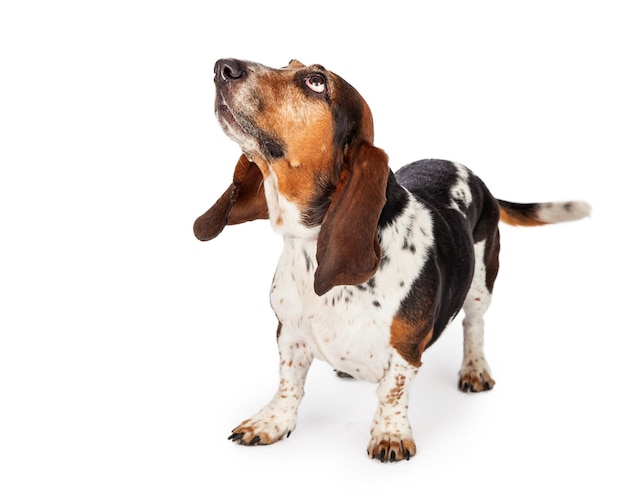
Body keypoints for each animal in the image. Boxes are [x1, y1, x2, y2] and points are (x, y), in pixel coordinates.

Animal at [193, 57, 588, 460]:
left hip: (481, 284)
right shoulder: (289, 333)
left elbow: (392, 391)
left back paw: (474, 369)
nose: (222, 66)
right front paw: (271, 422)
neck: (307, 246)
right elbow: (289, 383)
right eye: (288, 64)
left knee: (473, 326)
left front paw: (391, 434)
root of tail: (475, 177)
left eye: (316, 81)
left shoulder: (405, 352)